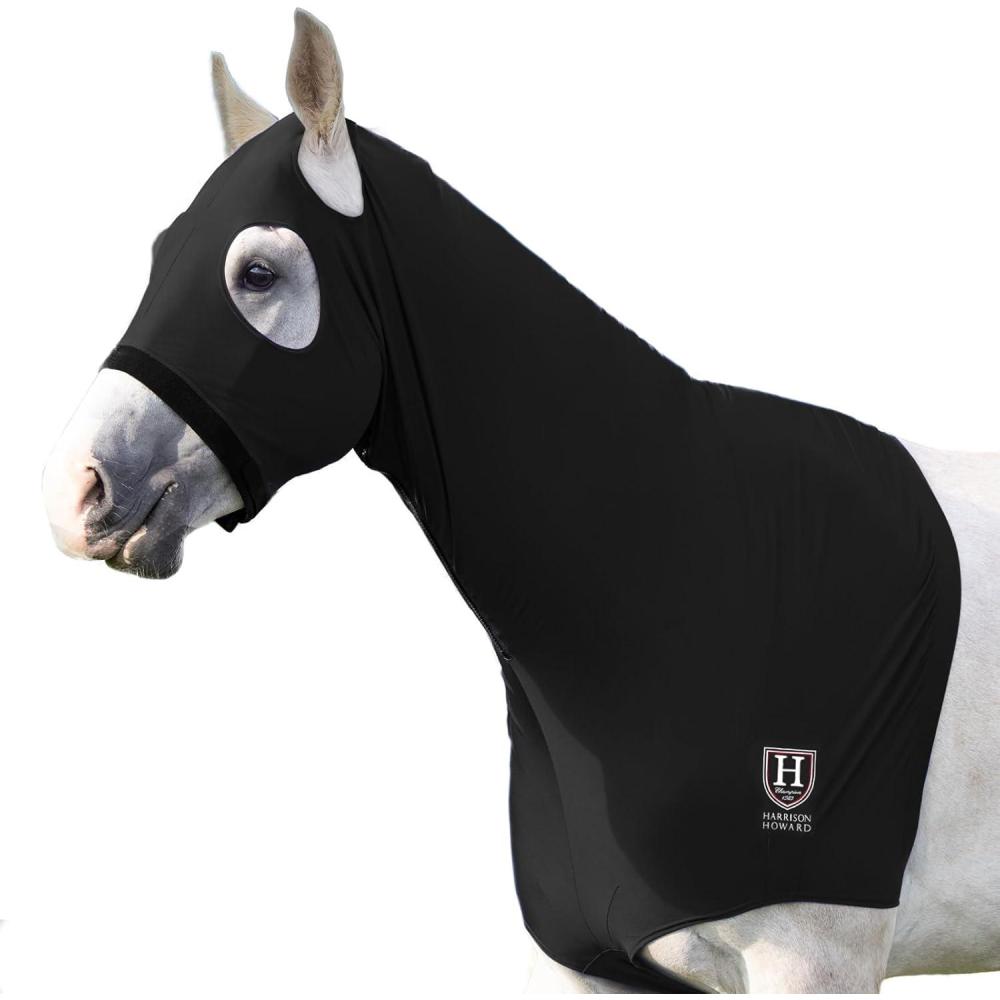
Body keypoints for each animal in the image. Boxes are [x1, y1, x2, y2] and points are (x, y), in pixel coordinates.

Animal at [42, 10, 1000, 993]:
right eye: (160, 255)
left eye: (257, 273)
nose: (76, 489)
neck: (680, 569)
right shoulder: (596, 965)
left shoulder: (814, 959)